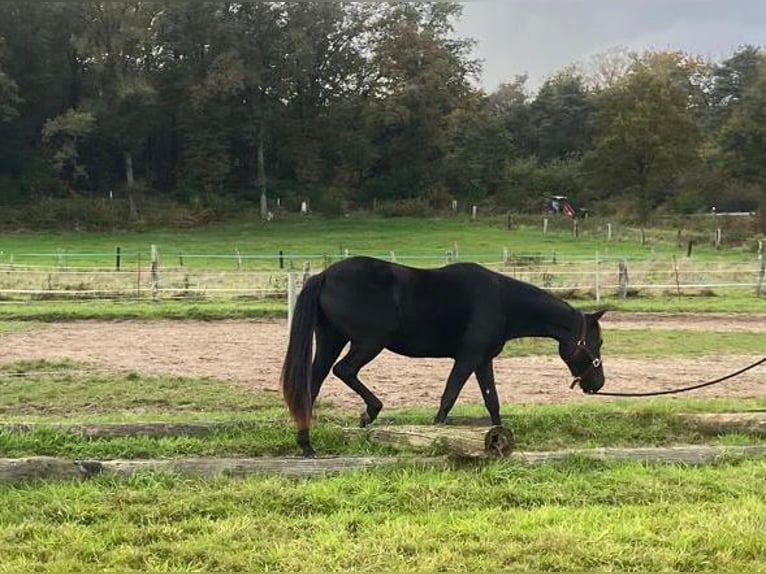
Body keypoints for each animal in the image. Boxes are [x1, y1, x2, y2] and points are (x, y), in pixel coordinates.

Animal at [282, 258, 608, 460]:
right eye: (597, 343)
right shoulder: (467, 359)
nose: (598, 383)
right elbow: (448, 398)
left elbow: (492, 401)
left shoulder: (482, 361)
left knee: (313, 384)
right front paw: (434, 438)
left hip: (331, 340)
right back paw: (370, 412)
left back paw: (307, 445)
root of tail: (324, 275)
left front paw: (499, 440)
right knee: (344, 370)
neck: (501, 301)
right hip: (369, 343)